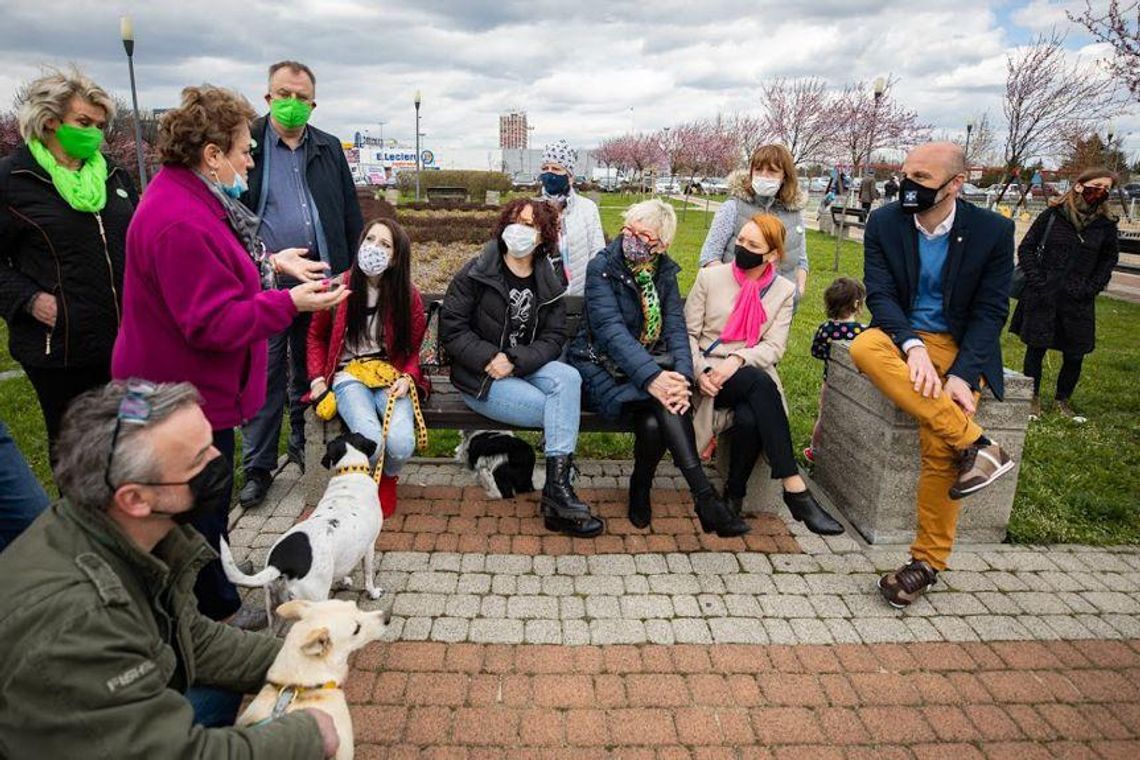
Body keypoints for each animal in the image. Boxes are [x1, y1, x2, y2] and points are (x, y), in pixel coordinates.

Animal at [220, 430, 385, 628]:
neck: (350, 473)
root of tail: (280, 563)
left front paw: (344, 580)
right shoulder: (370, 546)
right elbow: (368, 574)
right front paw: (373, 592)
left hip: (273, 607)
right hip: (315, 600)